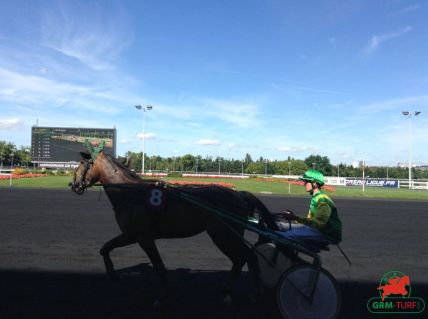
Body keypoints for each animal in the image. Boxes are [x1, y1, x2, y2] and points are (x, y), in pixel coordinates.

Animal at [69, 142, 272, 304]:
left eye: (81, 164)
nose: (73, 185)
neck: (131, 194)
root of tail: (239, 195)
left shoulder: (142, 237)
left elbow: (158, 265)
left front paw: (164, 295)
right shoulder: (132, 235)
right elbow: (105, 248)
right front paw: (113, 274)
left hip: (223, 234)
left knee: (245, 257)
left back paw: (249, 293)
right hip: (228, 234)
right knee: (244, 258)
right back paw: (234, 291)